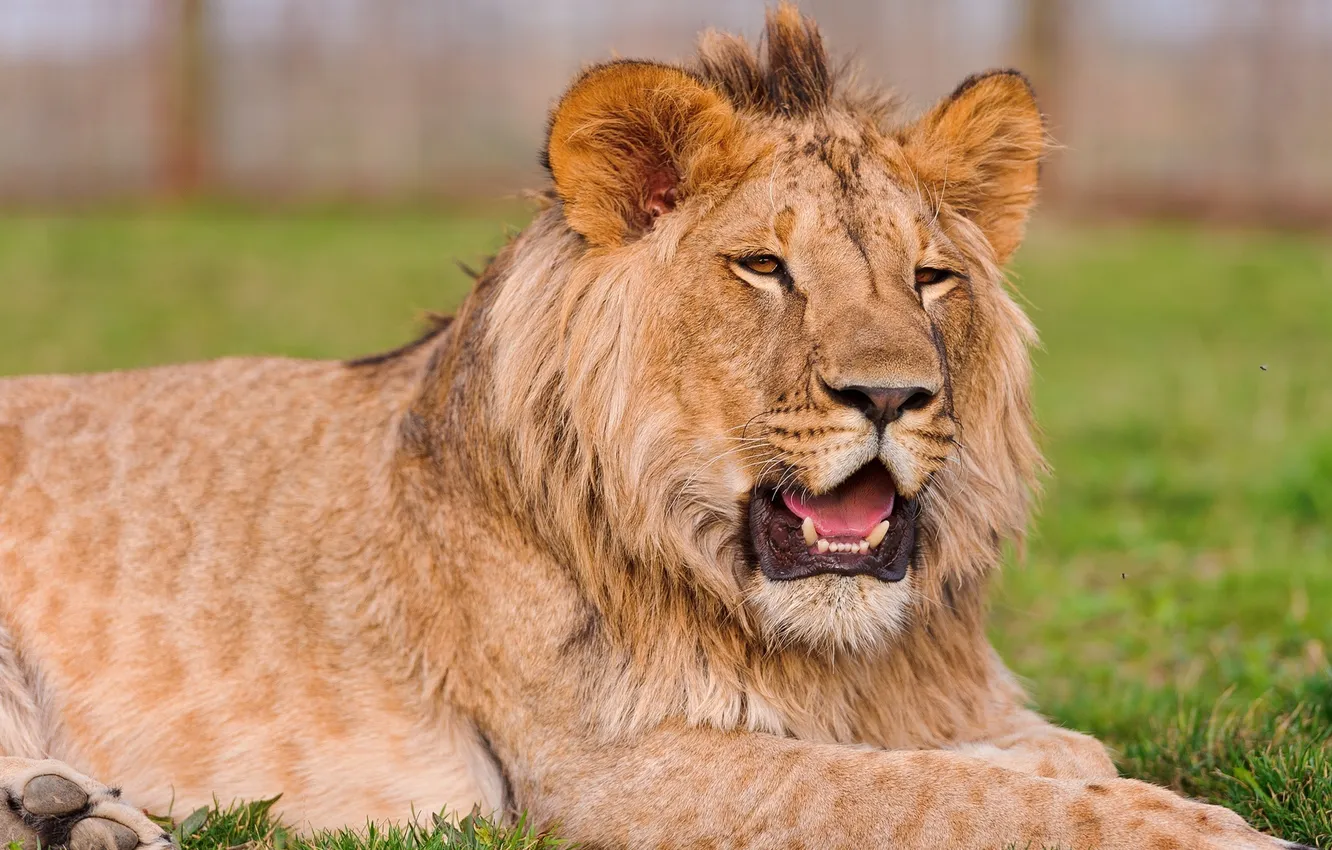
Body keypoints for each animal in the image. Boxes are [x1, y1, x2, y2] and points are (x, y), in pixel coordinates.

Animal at [0, 7, 1312, 850]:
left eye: (931, 276)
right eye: (765, 268)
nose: (892, 395)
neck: (831, 646)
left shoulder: (932, 710)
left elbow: (1047, 759)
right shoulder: (607, 772)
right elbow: (958, 802)